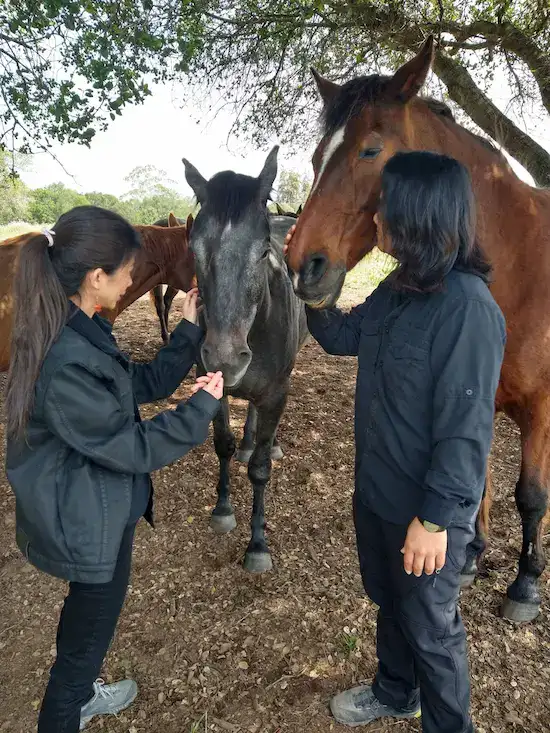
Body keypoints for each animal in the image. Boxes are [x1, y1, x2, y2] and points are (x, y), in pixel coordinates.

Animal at [182, 146, 308, 572]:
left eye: (264, 250)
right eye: (194, 249)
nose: (225, 358)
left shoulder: (276, 394)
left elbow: (261, 471)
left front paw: (257, 544)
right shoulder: (213, 386)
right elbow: (222, 444)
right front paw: (222, 510)